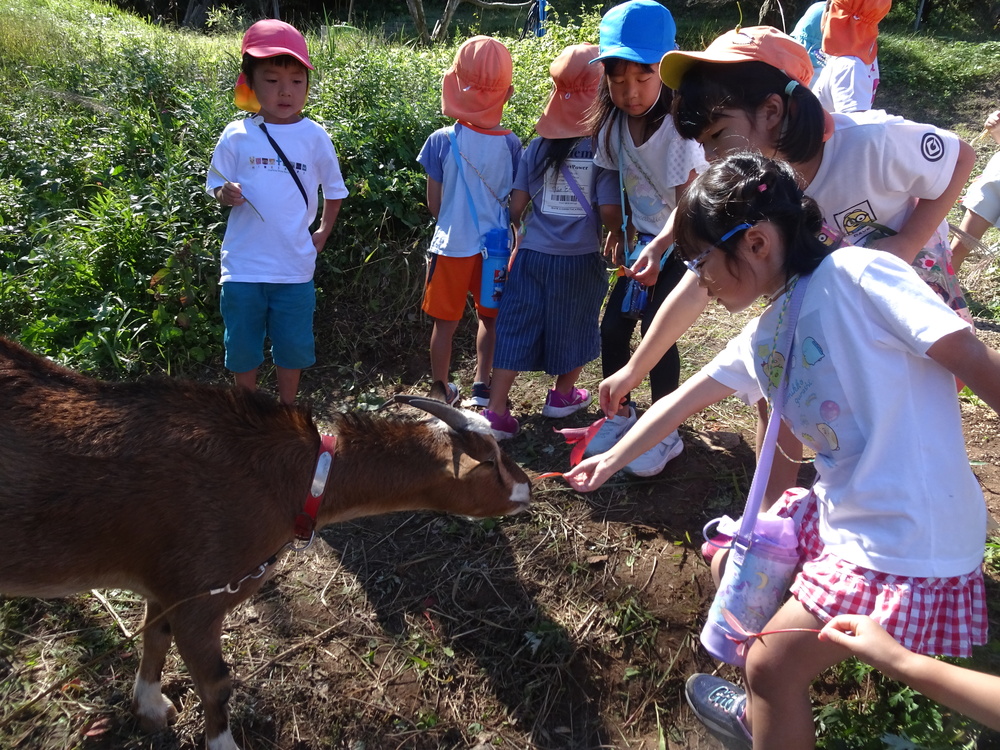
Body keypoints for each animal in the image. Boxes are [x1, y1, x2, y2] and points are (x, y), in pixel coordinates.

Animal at [0, 340, 532, 750]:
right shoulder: (201, 597)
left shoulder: (168, 584)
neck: (296, 478)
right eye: (491, 462)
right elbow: (216, 682)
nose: (527, 489)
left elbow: (155, 635)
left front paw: (150, 707)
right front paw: (221, 742)